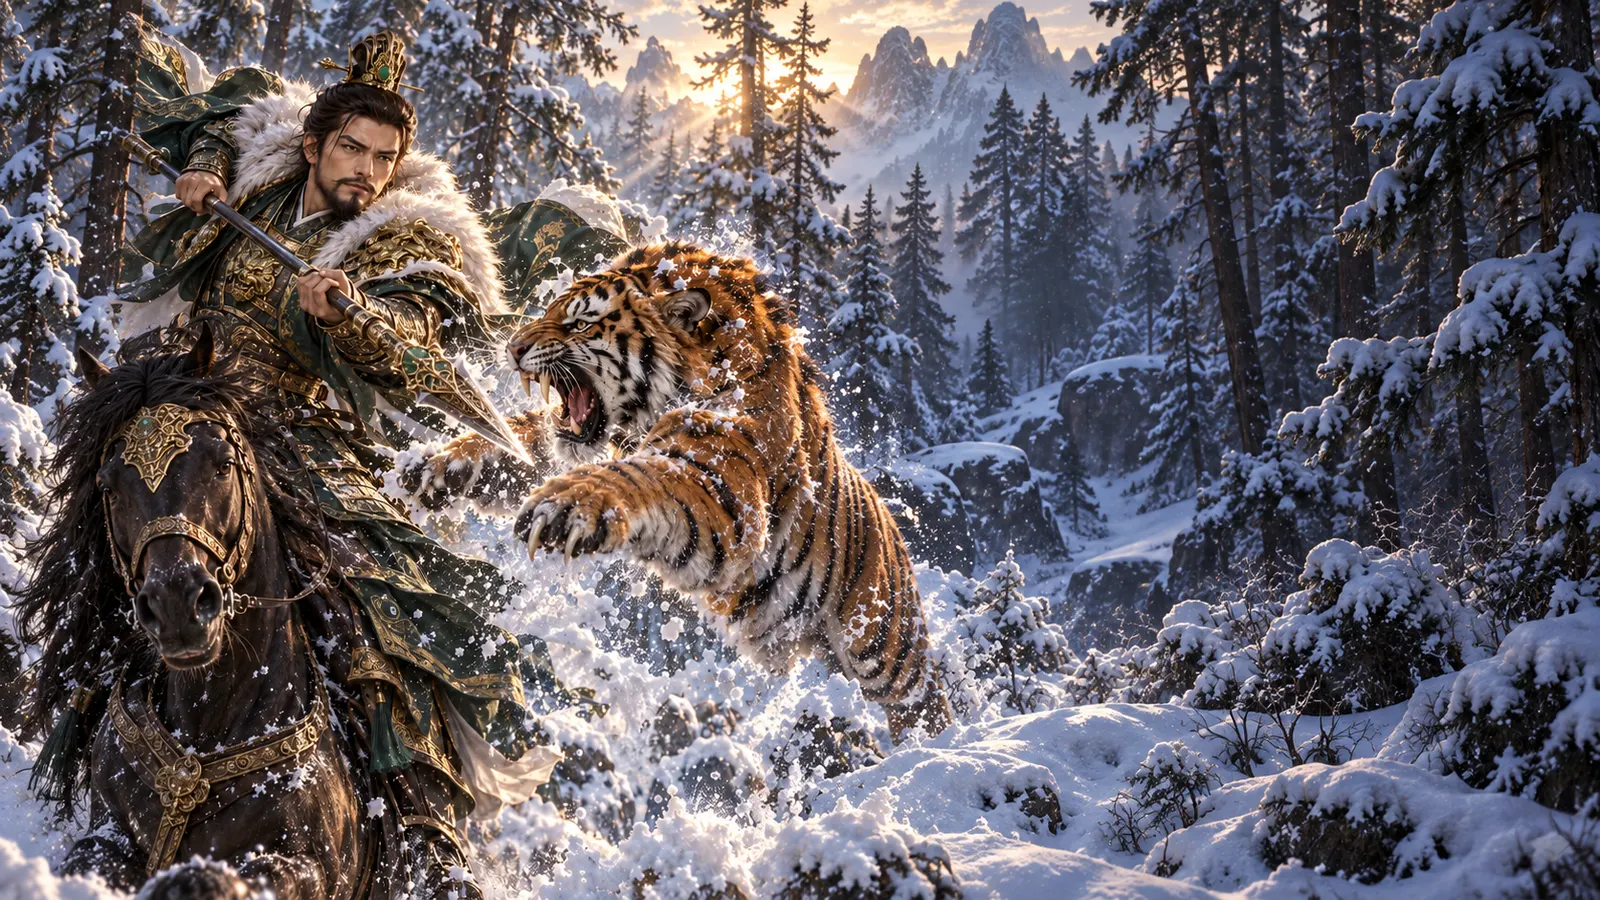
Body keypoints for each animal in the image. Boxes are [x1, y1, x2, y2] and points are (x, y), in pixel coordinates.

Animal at [505, 241, 952, 741]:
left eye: (581, 323)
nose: (512, 347)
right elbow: (518, 435)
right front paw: (460, 460)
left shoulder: (719, 484)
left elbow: (641, 476)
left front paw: (567, 507)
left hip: (883, 647)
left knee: (922, 702)